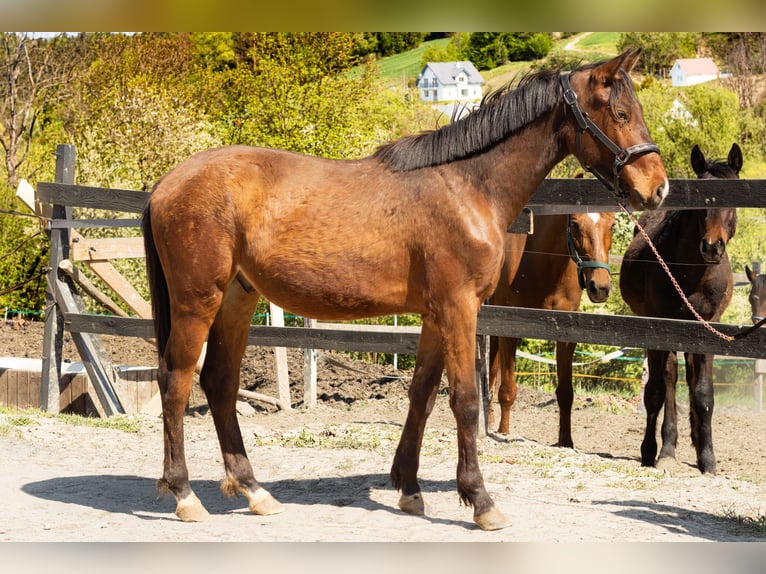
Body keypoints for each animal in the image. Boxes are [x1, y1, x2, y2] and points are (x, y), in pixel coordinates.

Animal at [488, 209, 615, 444]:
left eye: (612, 225)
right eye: (575, 225)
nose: (600, 287)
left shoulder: (565, 334)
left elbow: (565, 393)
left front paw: (566, 441)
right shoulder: (509, 328)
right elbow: (507, 389)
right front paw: (504, 432)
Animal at [620, 142, 742, 474]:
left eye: (734, 200)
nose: (711, 247)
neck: (692, 272)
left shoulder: (710, 326)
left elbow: (703, 393)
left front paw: (708, 458)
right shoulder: (659, 325)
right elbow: (659, 390)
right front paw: (657, 452)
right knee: (668, 381)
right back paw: (664, 448)